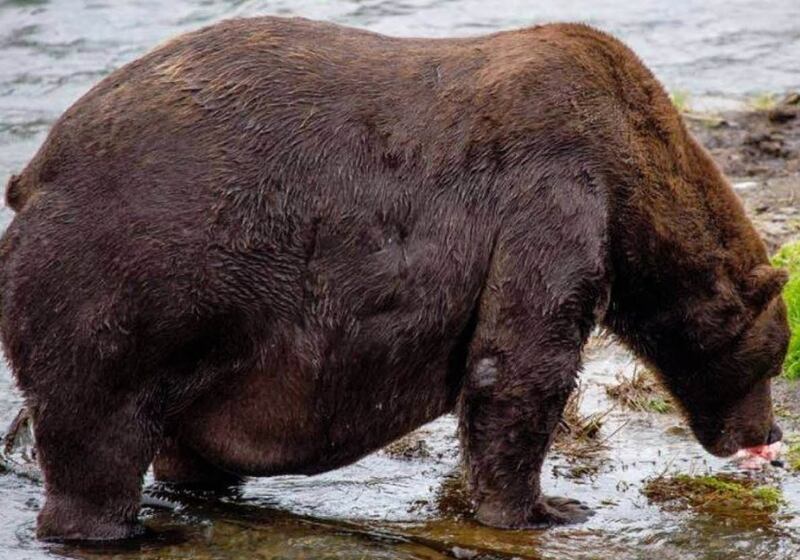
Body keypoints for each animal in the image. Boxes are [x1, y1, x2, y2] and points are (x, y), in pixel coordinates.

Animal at [0, 16, 790, 541]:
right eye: (773, 357)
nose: (770, 433)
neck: (635, 184)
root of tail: (35, 171)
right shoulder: (555, 192)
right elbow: (521, 361)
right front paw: (545, 508)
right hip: (126, 280)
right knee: (95, 433)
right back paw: (114, 527)